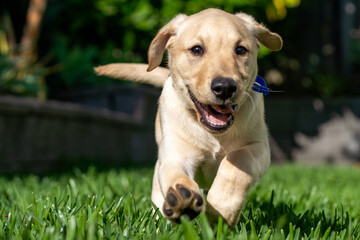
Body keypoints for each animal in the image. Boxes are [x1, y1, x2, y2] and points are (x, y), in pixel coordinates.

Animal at [94, 8, 282, 226]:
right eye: (197, 49)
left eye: (241, 50)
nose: (225, 87)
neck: (213, 134)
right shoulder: (176, 153)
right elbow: (176, 175)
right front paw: (183, 198)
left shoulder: (259, 148)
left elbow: (236, 161)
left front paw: (220, 211)